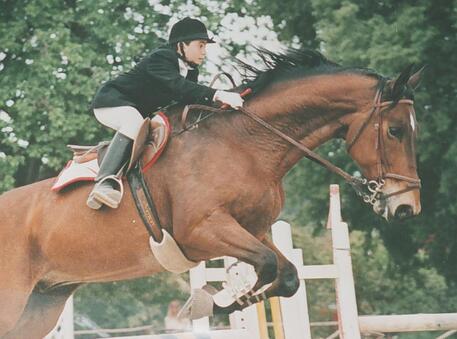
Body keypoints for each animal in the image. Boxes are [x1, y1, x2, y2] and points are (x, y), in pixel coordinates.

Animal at [0, 48, 422, 339]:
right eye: (395, 130)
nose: (407, 207)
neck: (246, 144)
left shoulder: (253, 230)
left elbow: (285, 276)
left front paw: (221, 302)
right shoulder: (202, 231)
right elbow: (266, 266)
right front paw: (212, 302)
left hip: (41, 304)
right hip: (14, 302)